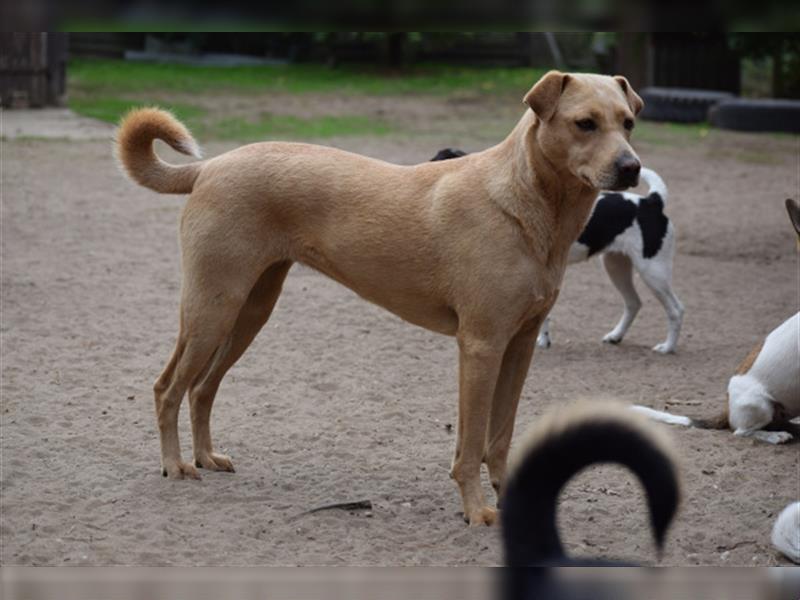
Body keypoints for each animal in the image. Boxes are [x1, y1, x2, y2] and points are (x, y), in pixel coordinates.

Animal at [115, 72, 648, 524]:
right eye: (584, 123)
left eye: (628, 122)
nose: (631, 168)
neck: (527, 204)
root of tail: (210, 167)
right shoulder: (481, 346)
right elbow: (472, 443)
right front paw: (476, 510)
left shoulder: (519, 346)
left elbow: (500, 437)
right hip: (212, 308)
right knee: (168, 388)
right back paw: (176, 466)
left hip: (249, 312)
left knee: (202, 389)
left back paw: (206, 456)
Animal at [428, 149, 684, 354]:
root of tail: (652, 202)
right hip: (616, 265)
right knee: (633, 303)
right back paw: (616, 336)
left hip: (653, 271)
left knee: (676, 309)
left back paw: (667, 348)